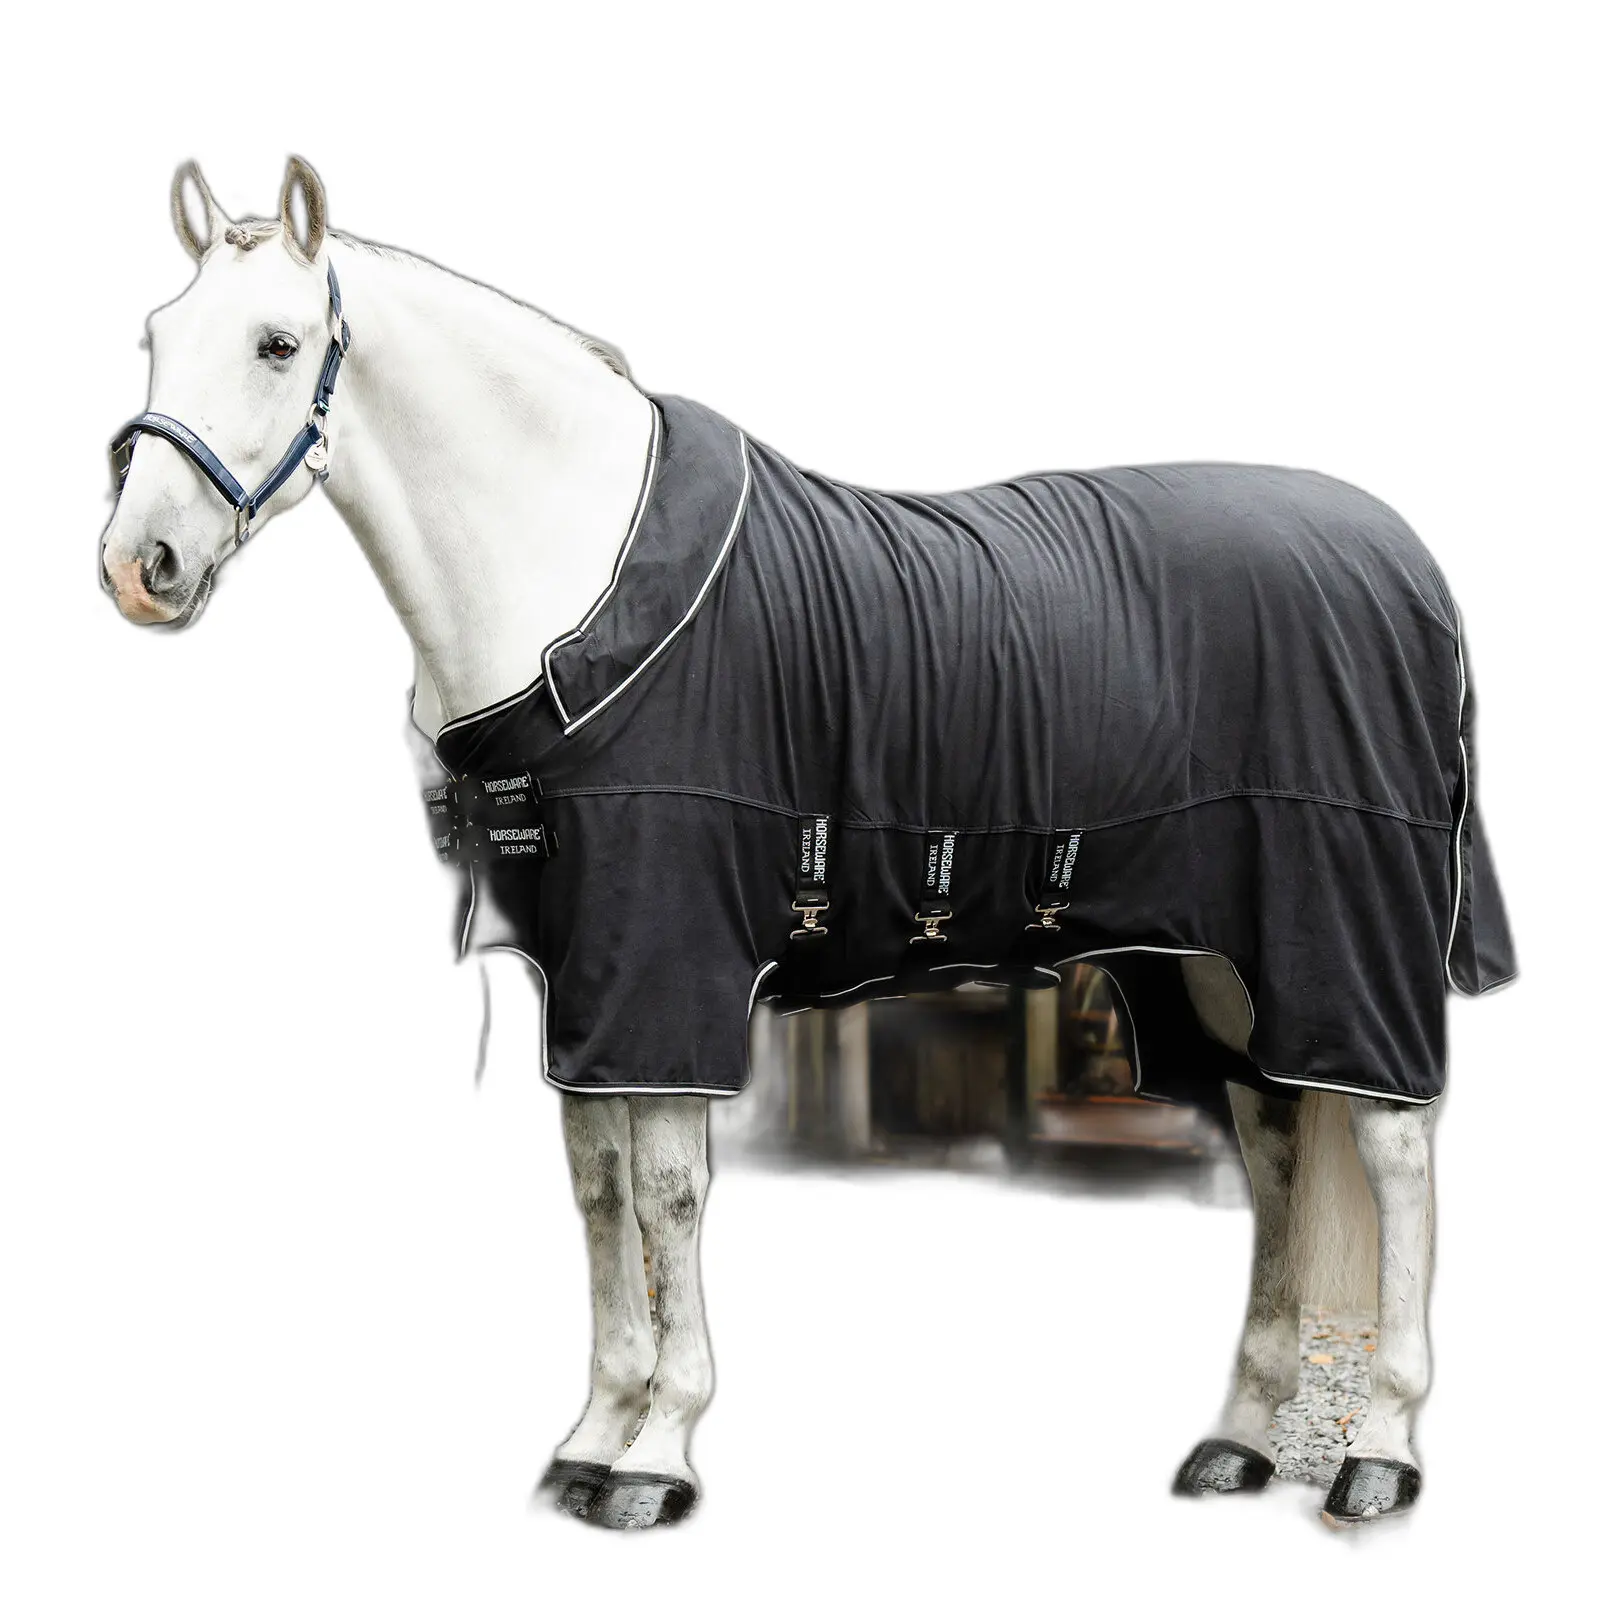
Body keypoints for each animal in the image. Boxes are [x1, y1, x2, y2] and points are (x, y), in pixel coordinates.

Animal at [99, 158, 1514, 1532]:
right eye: (155, 333)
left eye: (278, 342)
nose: (137, 565)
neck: (577, 588)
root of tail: (1410, 567)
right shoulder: (587, 985)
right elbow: (601, 1191)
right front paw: (591, 1437)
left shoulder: (666, 969)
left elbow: (670, 1191)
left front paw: (656, 1453)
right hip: (1214, 963)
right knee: (1274, 1141)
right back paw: (1236, 1438)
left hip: (1344, 942)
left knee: (1392, 1155)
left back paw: (1380, 1450)